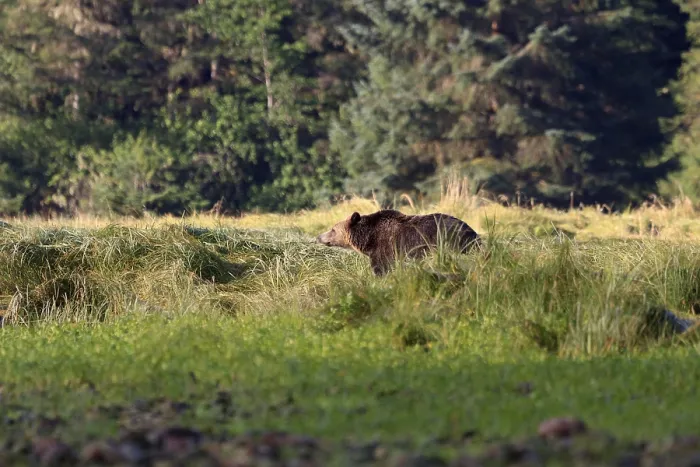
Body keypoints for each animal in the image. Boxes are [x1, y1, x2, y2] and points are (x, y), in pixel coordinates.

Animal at [316, 209, 482, 276]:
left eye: (333, 229)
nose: (318, 237)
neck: (368, 238)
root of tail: (472, 231)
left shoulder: (385, 248)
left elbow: (382, 268)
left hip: (449, 240)